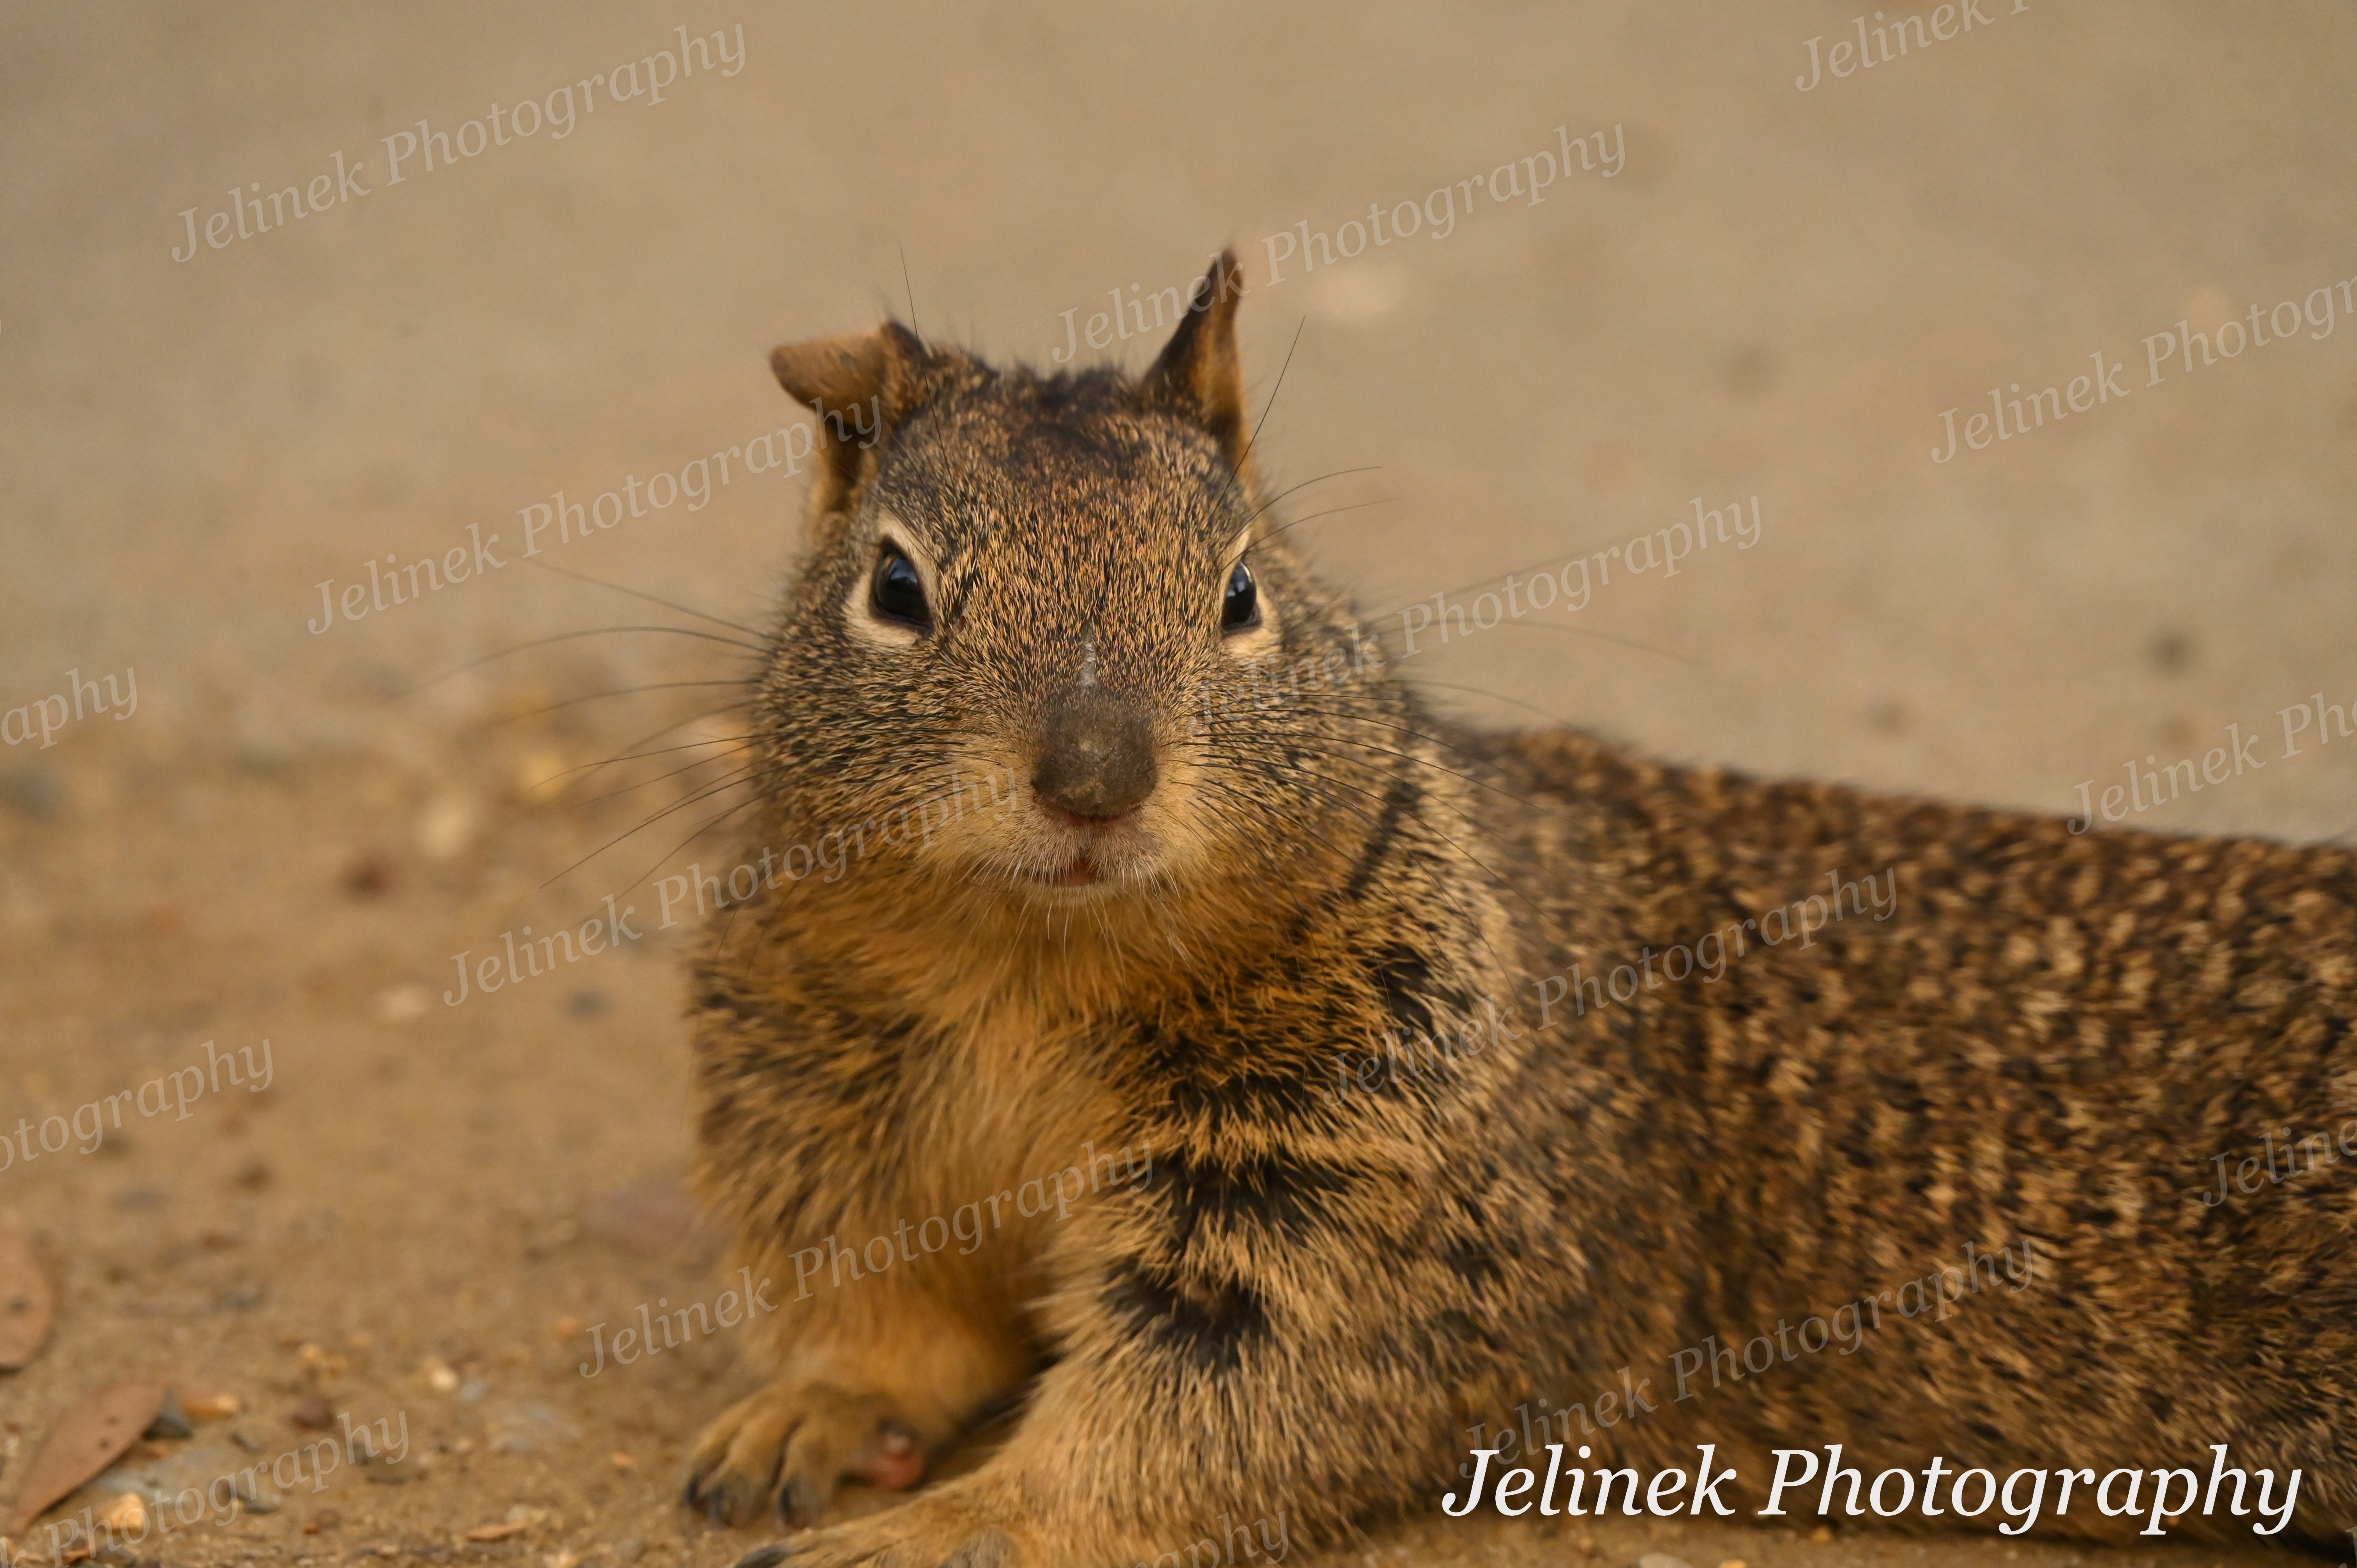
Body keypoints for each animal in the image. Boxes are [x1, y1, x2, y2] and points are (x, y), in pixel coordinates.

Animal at [679, 249, 2357, 1565]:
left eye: (1242, 594)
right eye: (892, 589)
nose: (1094, 780)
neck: (1036, 973)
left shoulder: (1359, 1199)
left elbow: (1208, 1410)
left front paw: (947, 1526)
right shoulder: (838, 1135)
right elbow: (903, 1319)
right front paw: (809, 1412)